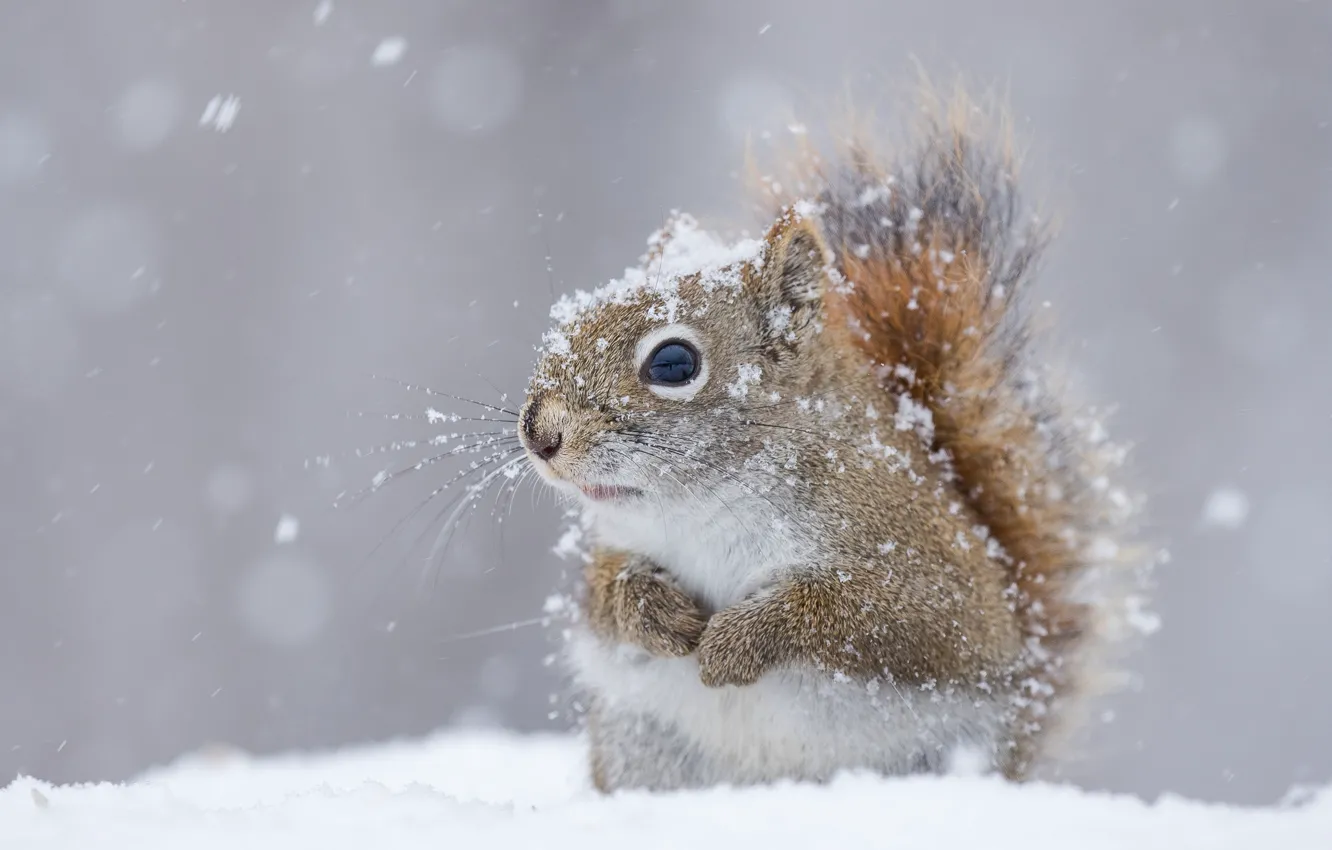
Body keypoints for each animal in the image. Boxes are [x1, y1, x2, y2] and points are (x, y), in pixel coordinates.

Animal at [514, 86, 1150, 794]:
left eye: (673, 363)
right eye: (569, 321)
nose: (539, 433)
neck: (706, 504)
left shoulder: (926, 567)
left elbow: (881, 618)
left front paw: (737, 641)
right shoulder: (619, 545)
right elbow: (603, 596)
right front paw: (655, 612)